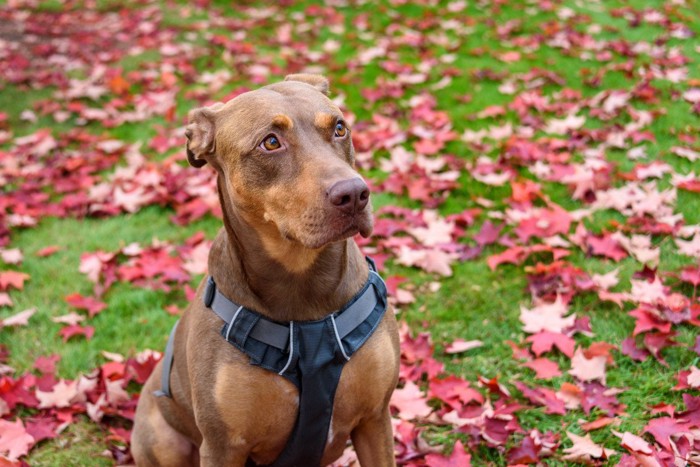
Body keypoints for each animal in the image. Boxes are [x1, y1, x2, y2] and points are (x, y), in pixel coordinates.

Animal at [133, 75, 400, 466]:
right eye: (270, 142)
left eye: (339, 128)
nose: (354, 194)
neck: (303, 283)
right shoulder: (222, 446)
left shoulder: (375, 420)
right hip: (163, 440)